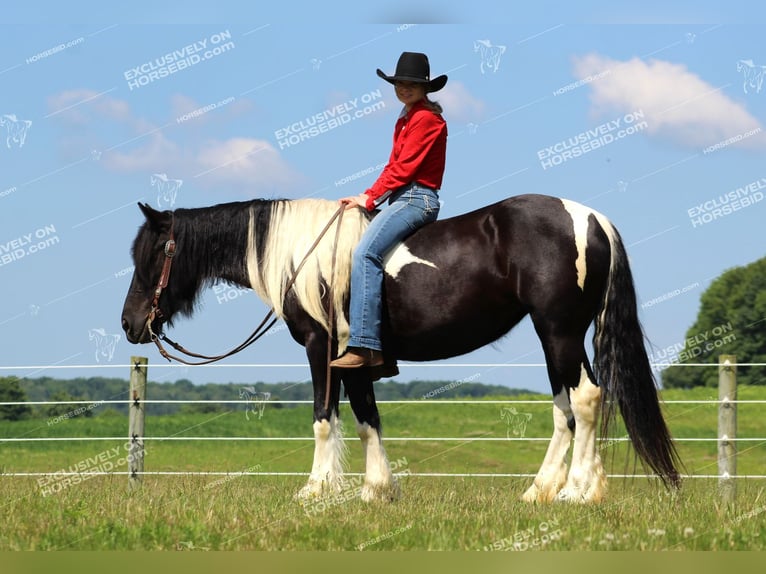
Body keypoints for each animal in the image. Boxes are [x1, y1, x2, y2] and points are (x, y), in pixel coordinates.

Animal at [121, 194, 684, 504]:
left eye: (150, 255)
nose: (129, 324)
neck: (303, 254)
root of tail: (592, 219)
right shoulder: (355, 360)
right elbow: (367, 418)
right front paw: (377, 490)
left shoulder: (320, 347)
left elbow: (324, 418)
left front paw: (316, 490)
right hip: (558, 339)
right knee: (567, 407)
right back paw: (546, 491)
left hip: (559, 332)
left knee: (585, 400)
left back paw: (576, 493)